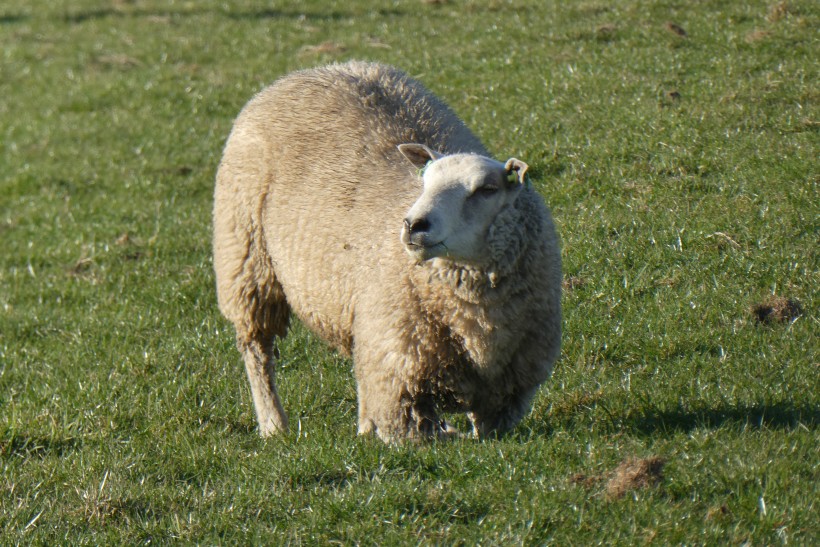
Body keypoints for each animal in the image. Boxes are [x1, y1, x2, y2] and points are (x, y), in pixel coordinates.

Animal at [211, 62, 560, 444]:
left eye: (486, 189)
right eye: (425, 181)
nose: (413, 225)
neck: (477, 322)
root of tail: (312, 70)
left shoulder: (506, 393)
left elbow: (483, 431)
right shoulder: (400, 377)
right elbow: (413, 434)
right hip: (246, 260)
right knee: (257, 351)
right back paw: (274, 424)